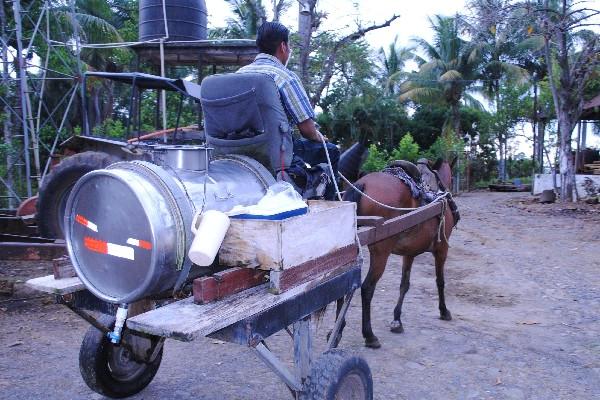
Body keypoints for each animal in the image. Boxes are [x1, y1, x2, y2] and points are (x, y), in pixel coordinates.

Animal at [338, 158, 460, 348]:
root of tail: (361, 183)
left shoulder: (409, 254)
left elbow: (404, 284)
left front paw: (397, 320)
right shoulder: (442, 249)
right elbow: (440, 281)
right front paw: (444, 311)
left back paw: (337, 330)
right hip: (381, 252)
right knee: (367, 288)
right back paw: (369, 335)